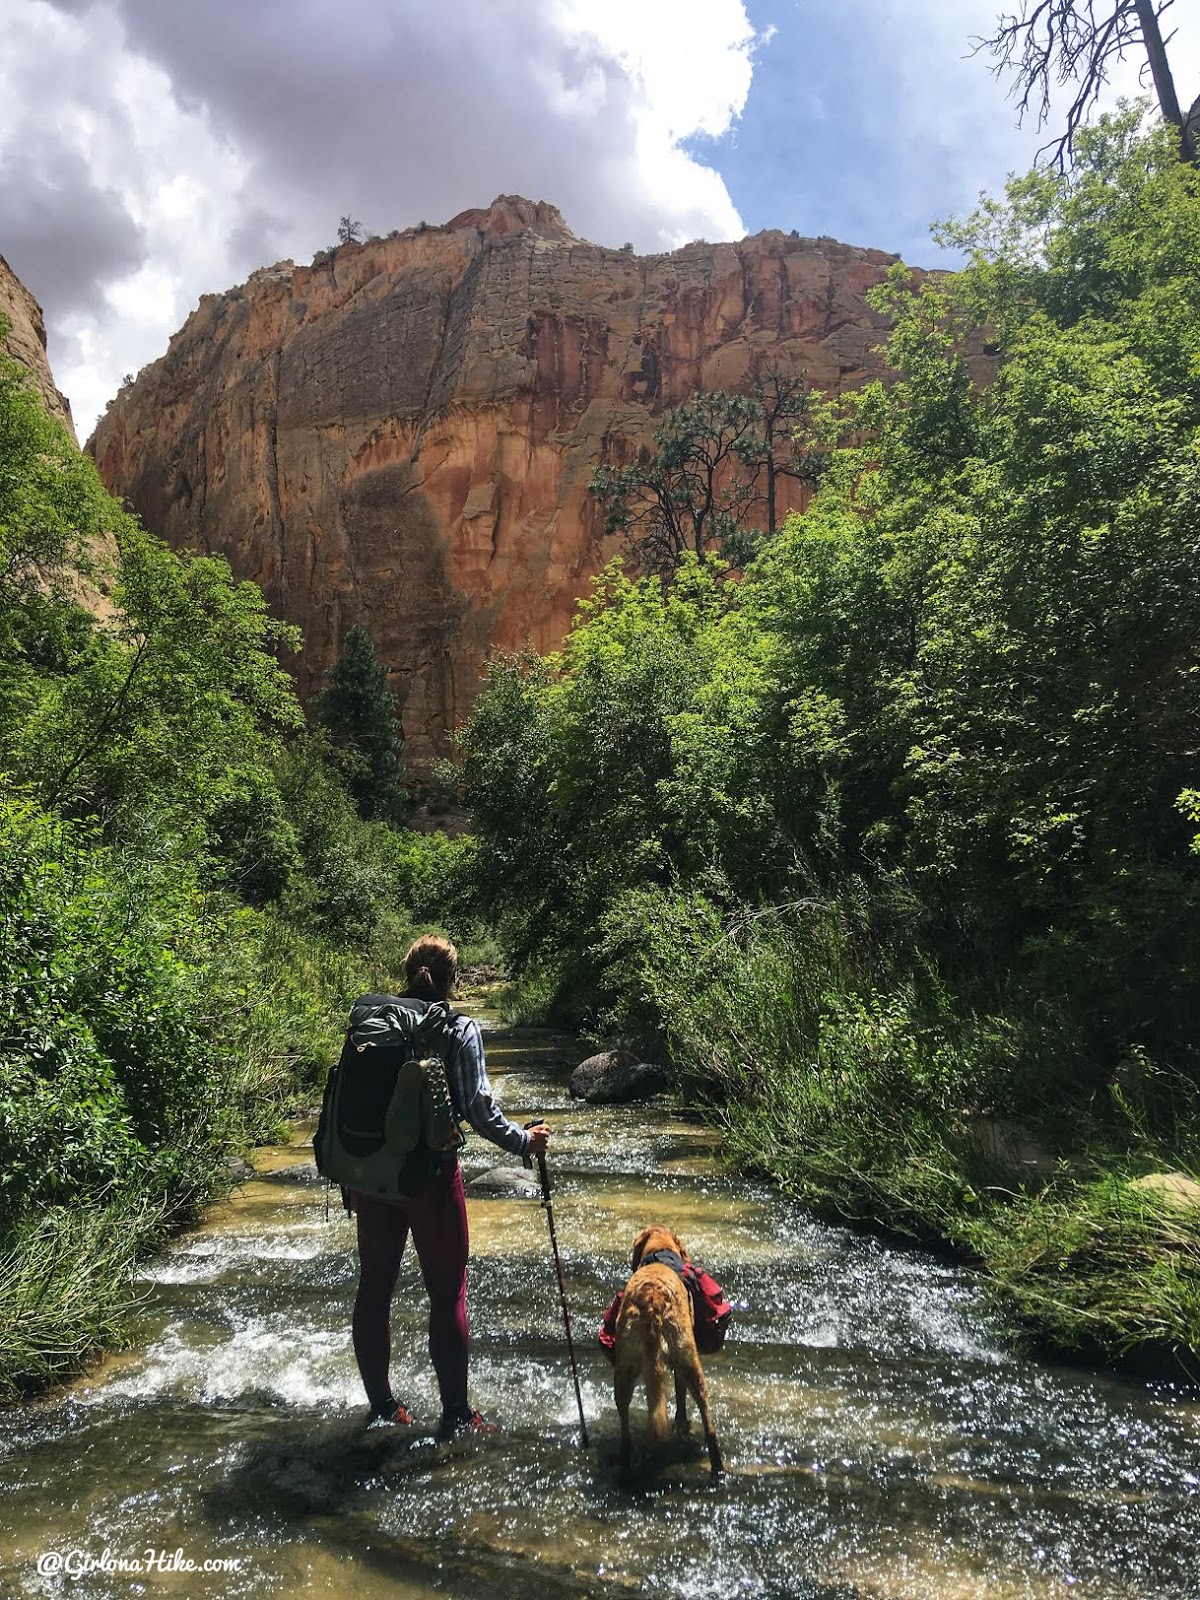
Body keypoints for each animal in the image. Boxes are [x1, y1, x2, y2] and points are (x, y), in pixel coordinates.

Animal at [611, 1222, 723, 1472]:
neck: (659, 1253)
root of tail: (653, 1302)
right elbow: (680, 1397)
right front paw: (681, 1421)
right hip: (688, 1358)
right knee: (707, 1419)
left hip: (625, 1367)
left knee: (625, 1425)